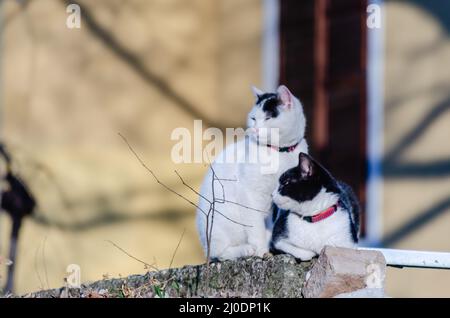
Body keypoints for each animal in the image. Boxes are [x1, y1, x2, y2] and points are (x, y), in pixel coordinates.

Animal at [197, 85, 310, 260]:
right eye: (253, 118)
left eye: (268, 118)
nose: (255, 130)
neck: (280, 152)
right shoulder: (249, 193)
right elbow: (256, 227)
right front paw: (261, 250)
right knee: (220, 253)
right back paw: (245, 250)